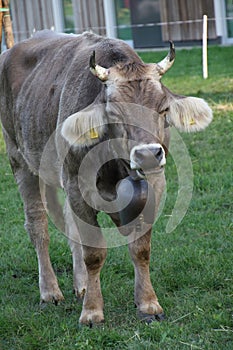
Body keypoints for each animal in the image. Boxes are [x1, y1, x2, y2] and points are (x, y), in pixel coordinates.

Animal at [0, 30, 212, 326]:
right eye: (115, 113)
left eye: (162, 109)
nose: (148, 154)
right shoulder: (77, 185)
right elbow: (94, 252)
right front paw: (92, 311)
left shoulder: (155, 184)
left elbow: (140, 247)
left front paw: (148, 303)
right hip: (19, 159)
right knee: (38, 225)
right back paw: (50, 291)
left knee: (69, 226)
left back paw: (81, 285)